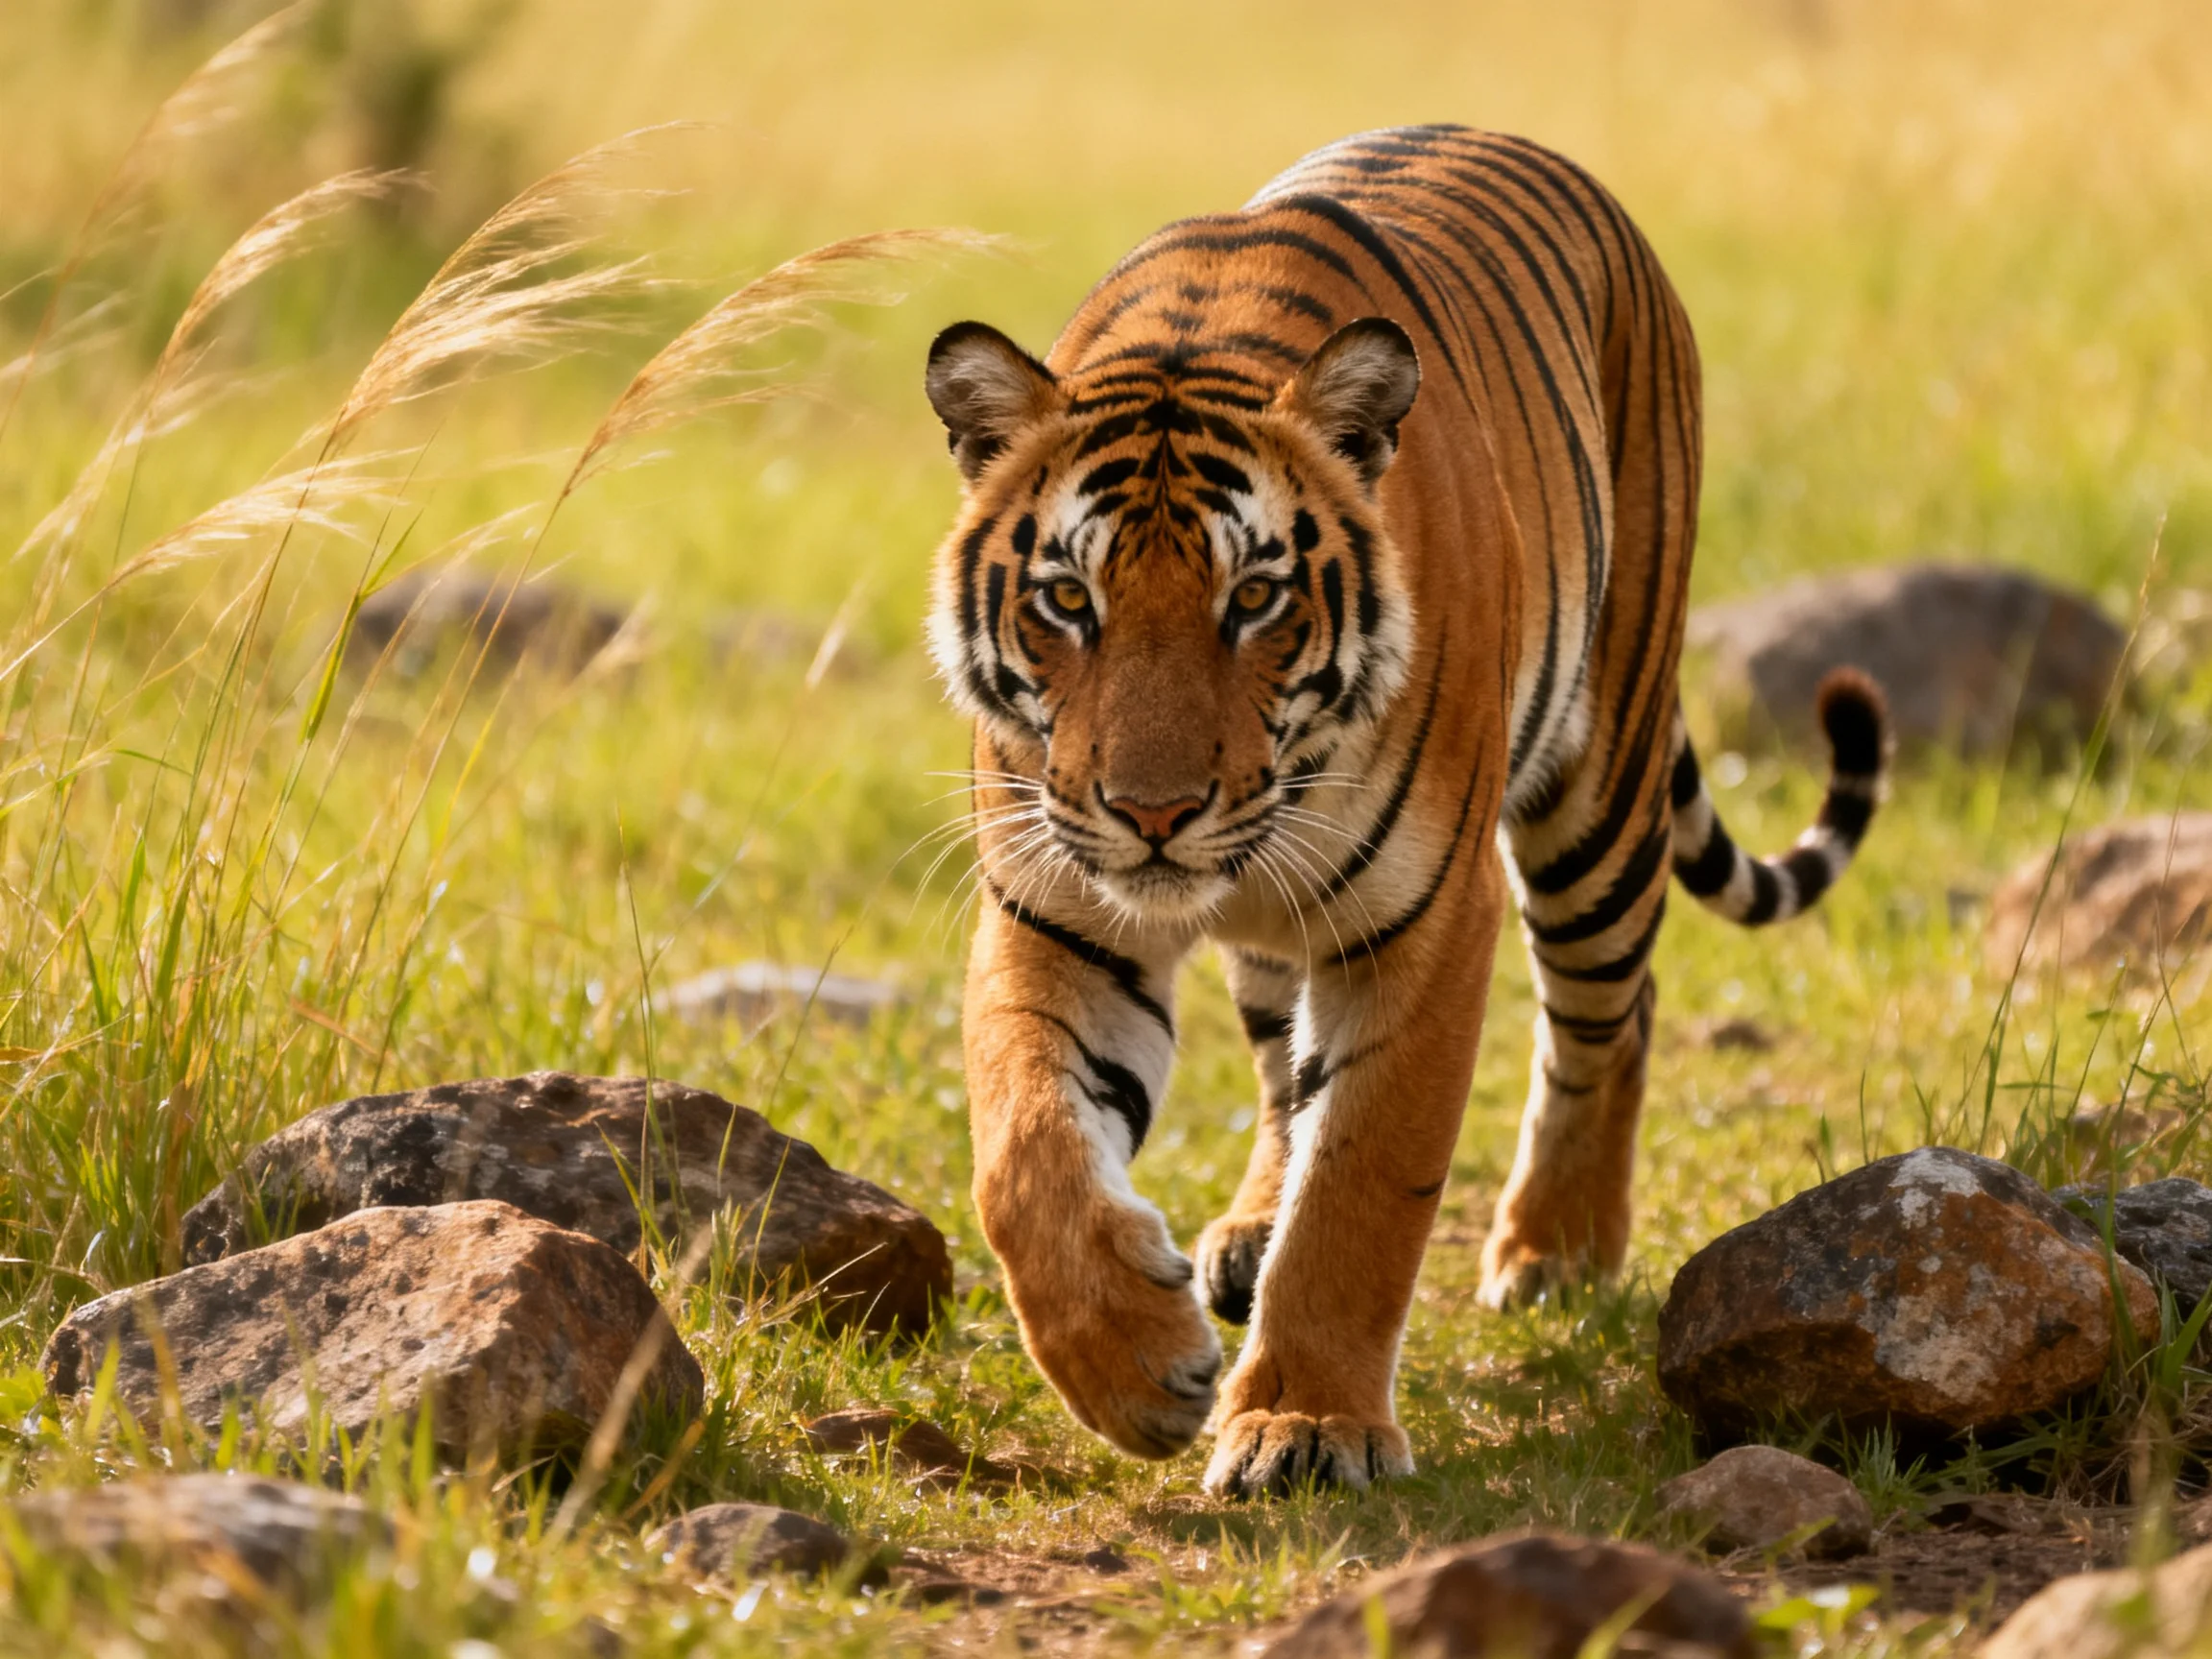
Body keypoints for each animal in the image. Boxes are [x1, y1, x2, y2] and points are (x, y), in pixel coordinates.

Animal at [921, 124, 1888, 1498]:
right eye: (1067, 599)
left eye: (1255, 597)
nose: (1155, 813)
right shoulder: (1053, 906)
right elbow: (1025, 1147)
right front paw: (1136, 1370)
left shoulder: (1424, 918)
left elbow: (1365, 1185)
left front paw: (1305, 1425)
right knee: (1284, 1057)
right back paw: (1248, 1231)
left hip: (1600, 800)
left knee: (1612, 1012)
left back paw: (1555, 1250)